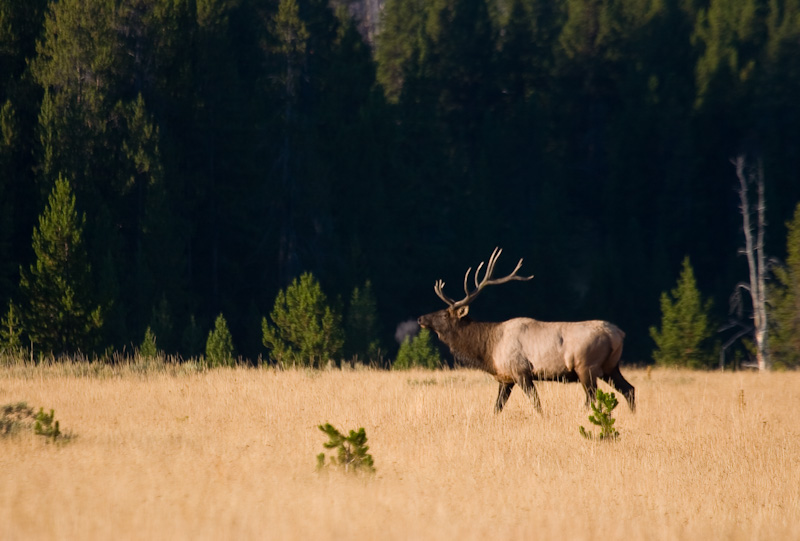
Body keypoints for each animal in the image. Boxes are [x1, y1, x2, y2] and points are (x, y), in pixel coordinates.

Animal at [418, 248, 636, 414]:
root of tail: (618, 334)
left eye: (445, 314)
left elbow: (536, 404)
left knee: (591, 397)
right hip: (610, 367)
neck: (489, 349)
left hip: (586, 366)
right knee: (629, 389)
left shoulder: (521, 371)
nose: (421, 318)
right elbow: (497, 407)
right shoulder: (505, 378)